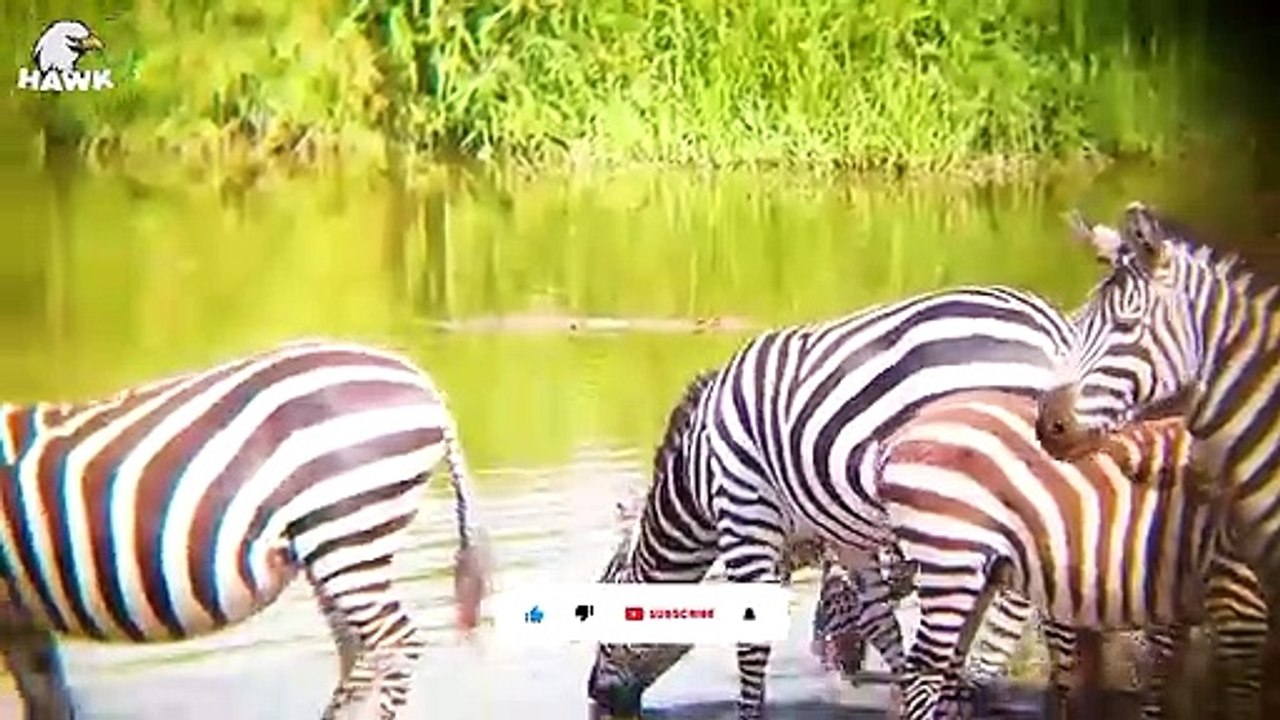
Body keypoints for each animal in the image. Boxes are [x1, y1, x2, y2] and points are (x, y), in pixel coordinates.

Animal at [0, 339, 492, 720]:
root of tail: (422, 381)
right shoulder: (20, 618)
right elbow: (47, 698)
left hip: (347, 530)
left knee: (393, 644)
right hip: (336, 545)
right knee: (358, 652)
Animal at [586, 283, 1138, 719]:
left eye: (597, 613)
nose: (593, 698)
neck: (697, 478)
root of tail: (1056, 330)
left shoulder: (746, 515)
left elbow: (754, 641)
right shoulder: (841, 533)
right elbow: (878, 620)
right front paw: (908, 694)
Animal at [868, 389, 1266, 720]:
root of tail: (902, 432)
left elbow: (1164, 683)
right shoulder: (1238, 595)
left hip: (974, 575)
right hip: (951, 556)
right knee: (923, 671)